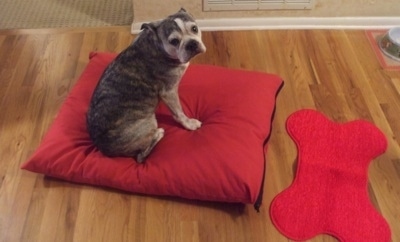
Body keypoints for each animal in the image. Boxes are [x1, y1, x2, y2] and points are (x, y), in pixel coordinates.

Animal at [86, 8, 206, 163]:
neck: (157, 45)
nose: (191, 43)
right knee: (141, 155)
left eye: (194, 29)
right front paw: (189, 124)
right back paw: (158, 133)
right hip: (149, 122)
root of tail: (104, 149)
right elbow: (178, 112)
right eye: (174, 41)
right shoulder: (169, 91)